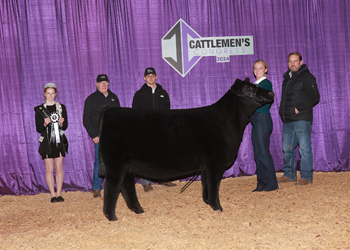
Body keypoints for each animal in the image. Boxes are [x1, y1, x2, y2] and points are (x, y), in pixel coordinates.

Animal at [98, 78, 274, 221]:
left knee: (127, 186)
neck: (229, 120)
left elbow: (206, 184)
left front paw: (208, 202)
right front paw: (217, 207)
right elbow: (214, 185)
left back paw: (138, 209)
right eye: (248, 88)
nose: (271, 92)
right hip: (115, 163)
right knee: (112, 187)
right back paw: (111, 216)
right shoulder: (215, 162)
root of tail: (110, 110)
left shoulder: (205, 166)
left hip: (127, 166)